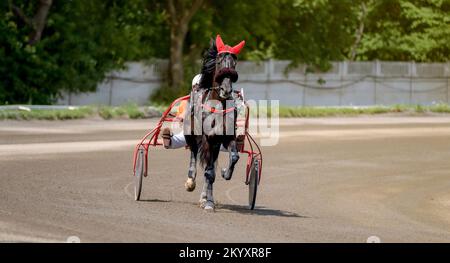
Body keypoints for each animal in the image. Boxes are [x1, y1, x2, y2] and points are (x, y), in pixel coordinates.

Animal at [184, 35, 246, 212]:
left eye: (234, 63)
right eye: (219, 62)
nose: (226, 90)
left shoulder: (226, 138)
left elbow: (234, 156)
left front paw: (225, 172)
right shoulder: (209, 139)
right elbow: (209, 172)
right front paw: (209, 203)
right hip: (191, 133)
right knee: (194, 153)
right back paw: (191, 182)